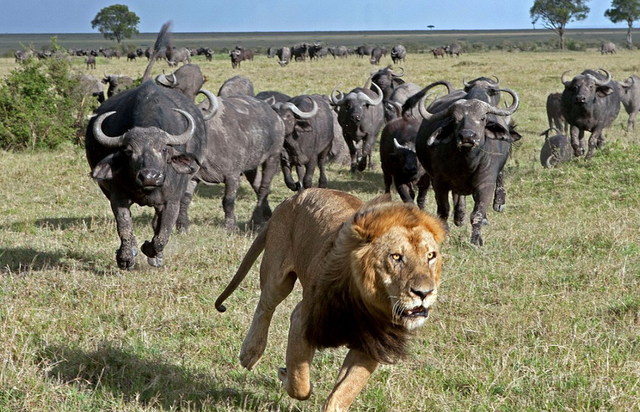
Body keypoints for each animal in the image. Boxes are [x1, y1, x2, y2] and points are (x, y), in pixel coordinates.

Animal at [215, 188, 444, 410]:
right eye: (396, 257)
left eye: (430, 256)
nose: (424, 293)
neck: (364, 303)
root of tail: (291, 198)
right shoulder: (302, 319)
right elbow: (300, 383)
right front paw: (285, 374)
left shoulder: (371, 345)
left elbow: (344, 392)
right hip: (277, 276)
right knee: (265, 307)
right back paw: (250, 353)